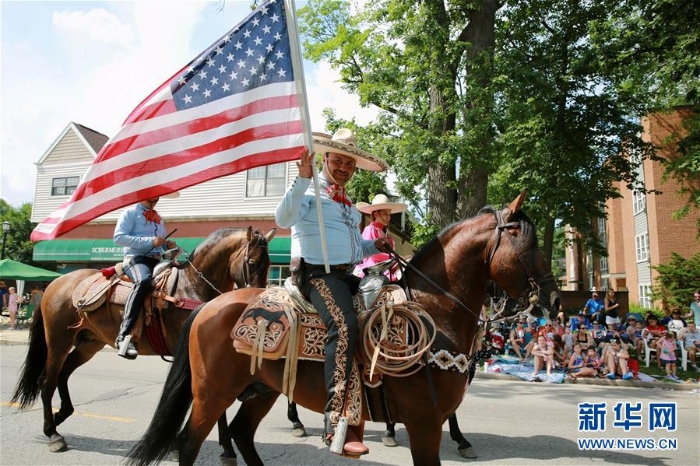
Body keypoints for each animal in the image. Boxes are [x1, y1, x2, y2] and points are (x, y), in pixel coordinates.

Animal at [10, 228, 274, 454]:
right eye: (252, 263)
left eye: (271, 265)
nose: (258, 297)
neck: (192, 287)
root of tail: (54, 284)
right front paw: (224, 447)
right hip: (59, 341)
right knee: (47, 381)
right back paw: (53, 434)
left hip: (88, 344)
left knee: (63, 375)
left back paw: (61, 415)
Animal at [129, 191, 560, 464]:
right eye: (528, 243)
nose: (555, 301)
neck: (432, 311)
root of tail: (209, 305)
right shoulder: (424, 425)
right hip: (212, 393)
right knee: (189, 442)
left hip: (261, 390)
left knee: (241, 434)